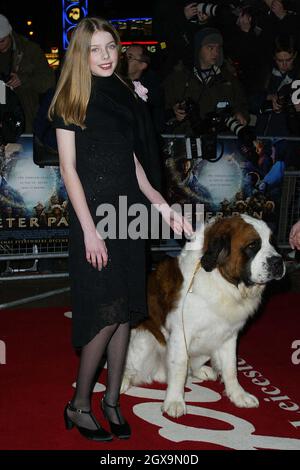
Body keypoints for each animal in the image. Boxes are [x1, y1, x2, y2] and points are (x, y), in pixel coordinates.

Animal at [120, 215, 284, 416]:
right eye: (253, 245)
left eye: (272, 243)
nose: (278, 262)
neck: (221, 281)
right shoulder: (181, 333)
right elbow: (180, 365)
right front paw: (174, 401)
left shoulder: (229, 335)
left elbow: (231, 367)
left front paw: (238, 395)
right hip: (144, 338)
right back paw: (124, 379)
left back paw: (202, 371)